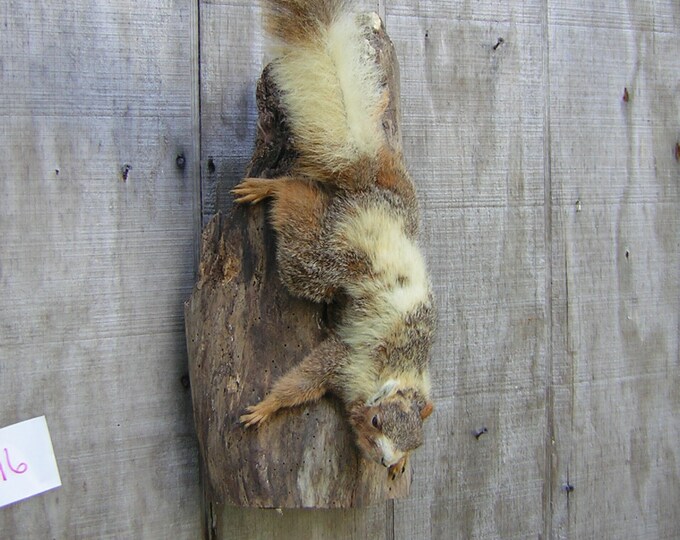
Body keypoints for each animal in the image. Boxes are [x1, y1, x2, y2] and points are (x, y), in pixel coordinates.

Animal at [233, 0, 436, 480]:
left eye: (415, 444)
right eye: (377, 421)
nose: (386, 460)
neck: (403, 371)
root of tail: (373, 205)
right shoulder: (346, 359)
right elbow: (303, 380)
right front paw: (267, 407)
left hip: (401, 203)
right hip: (321, 260)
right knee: (297, 201)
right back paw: (272, 188)